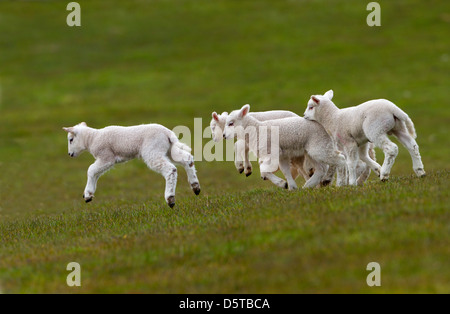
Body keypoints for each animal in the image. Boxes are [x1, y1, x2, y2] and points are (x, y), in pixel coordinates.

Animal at [62, 121, 200, 207]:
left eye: (71, 140)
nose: (70, 154)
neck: (92, 138)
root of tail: (168, 133)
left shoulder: (106, 157)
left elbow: (91, 170)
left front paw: (87, 194)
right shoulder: (105, 160)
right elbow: (96, 173)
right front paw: (89, 194)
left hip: (152, 151)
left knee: (171, 169)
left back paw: (170, 198)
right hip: (169, 149)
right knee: (187, 158)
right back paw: (195, 187)